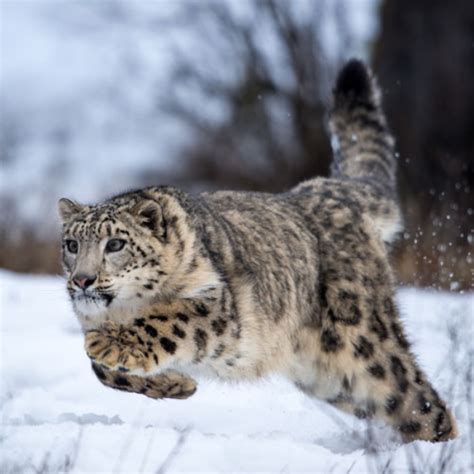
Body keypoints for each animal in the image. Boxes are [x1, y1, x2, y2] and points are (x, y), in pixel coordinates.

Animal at [58, 60, 456, 444]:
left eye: (115, 244)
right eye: (72, 245)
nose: (82, 280)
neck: (120, 311)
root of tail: (327, 188)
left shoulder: (216, 305)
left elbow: (164, 321)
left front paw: (108, 344)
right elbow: (100, 370)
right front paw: (176, 383)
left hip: (364, 343)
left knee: (420, 400)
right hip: (335, 379)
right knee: (406, 409)